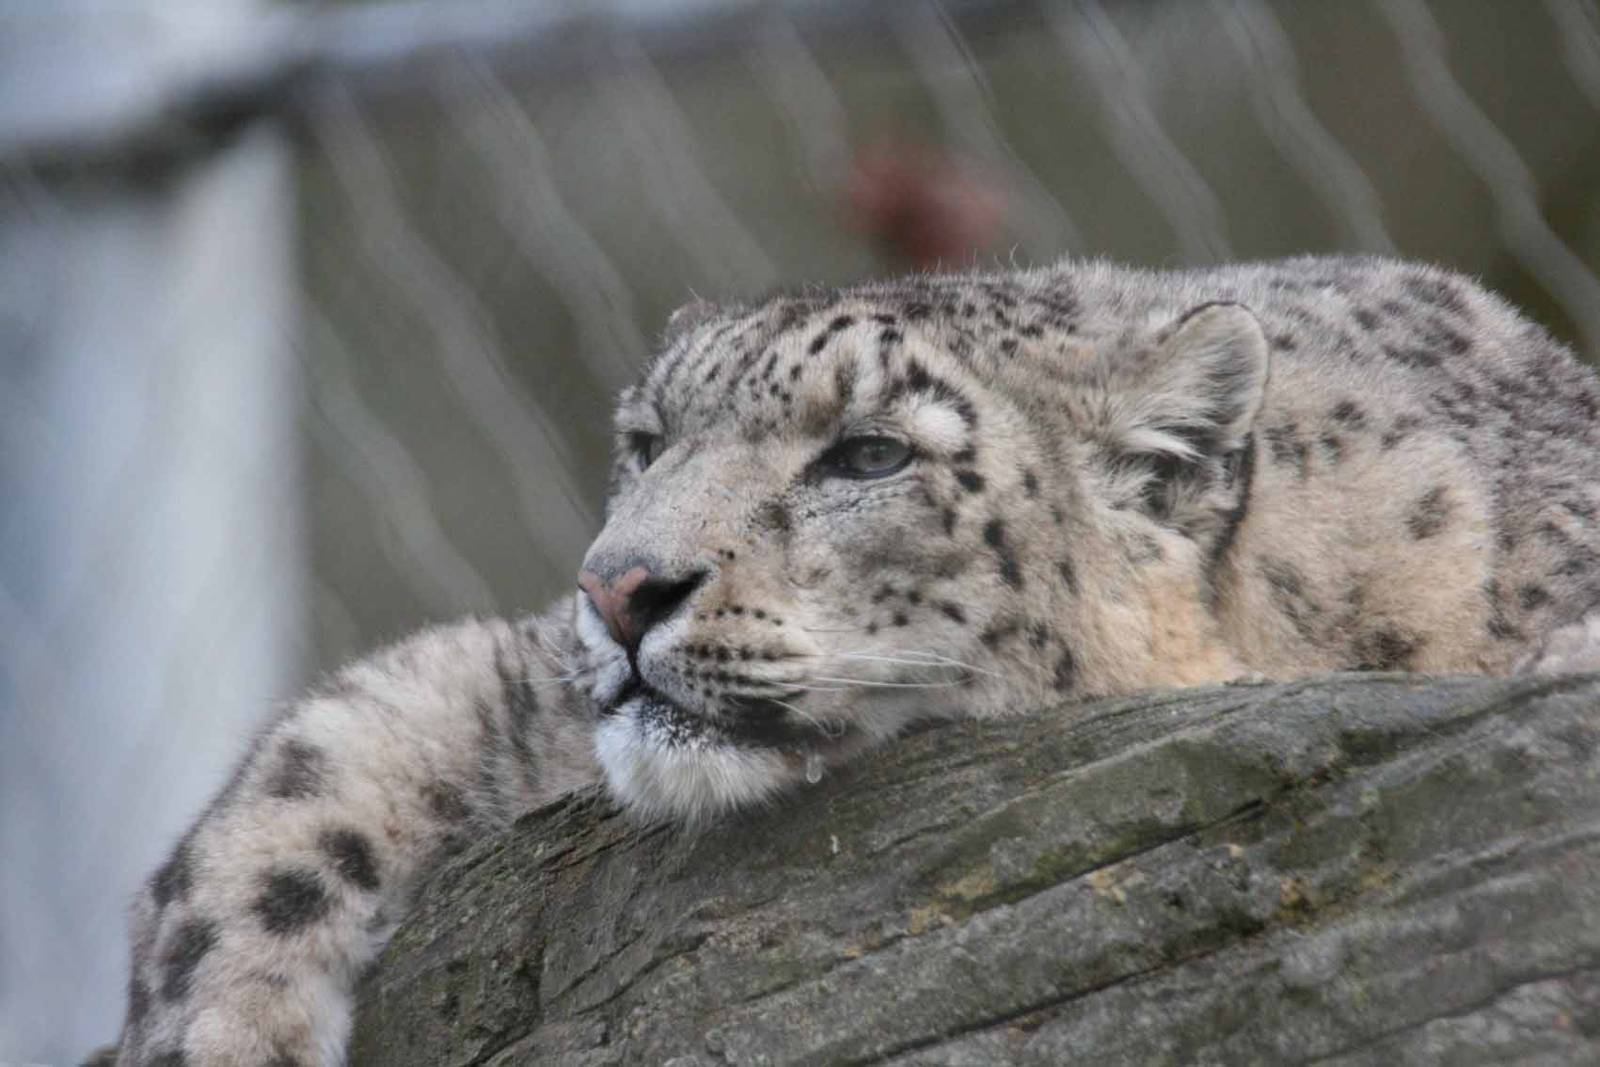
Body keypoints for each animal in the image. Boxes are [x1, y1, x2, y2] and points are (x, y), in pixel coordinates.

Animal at [99, 255, 1600, 1065]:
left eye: (870, 454)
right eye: (646, 440)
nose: (618, 586)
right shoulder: (520, 677)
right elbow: (321, 752)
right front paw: (222, 1034)